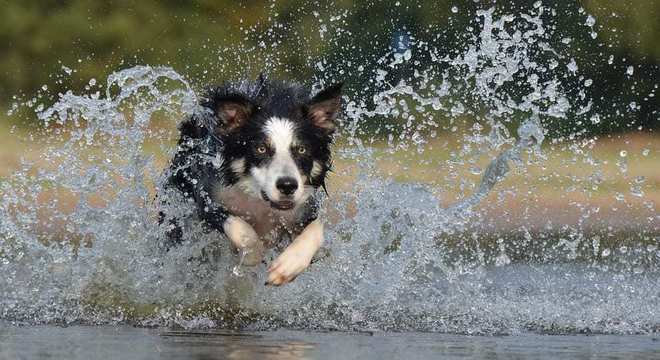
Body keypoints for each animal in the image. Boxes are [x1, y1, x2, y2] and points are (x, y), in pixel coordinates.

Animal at [158, 76, 342, 286]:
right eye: (261, 149)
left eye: (302, 150)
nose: (287, 185)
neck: (259, 201)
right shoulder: (207, 196)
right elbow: (241, 228)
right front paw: (251, 255)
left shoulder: (304, 206)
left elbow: (317, 229)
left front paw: (287, 266)